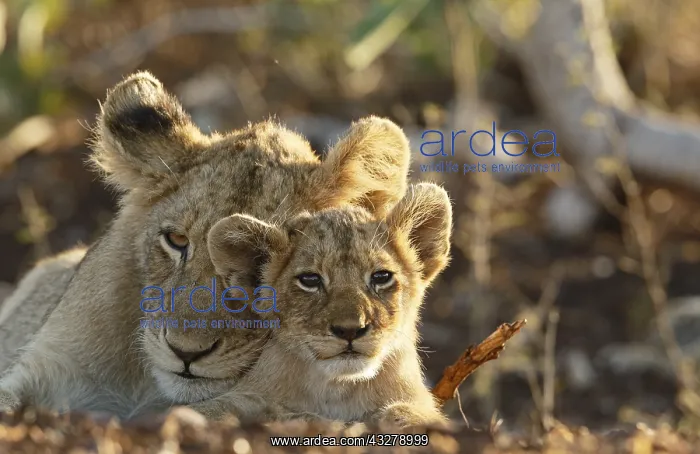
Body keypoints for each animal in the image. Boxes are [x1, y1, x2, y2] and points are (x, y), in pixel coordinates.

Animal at [186, 182, 452, 428]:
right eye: (310, 280)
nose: (350, 330)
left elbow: (411, 413)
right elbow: (223, 407)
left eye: (381, 277)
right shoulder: (247, 395)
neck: (338, 389)